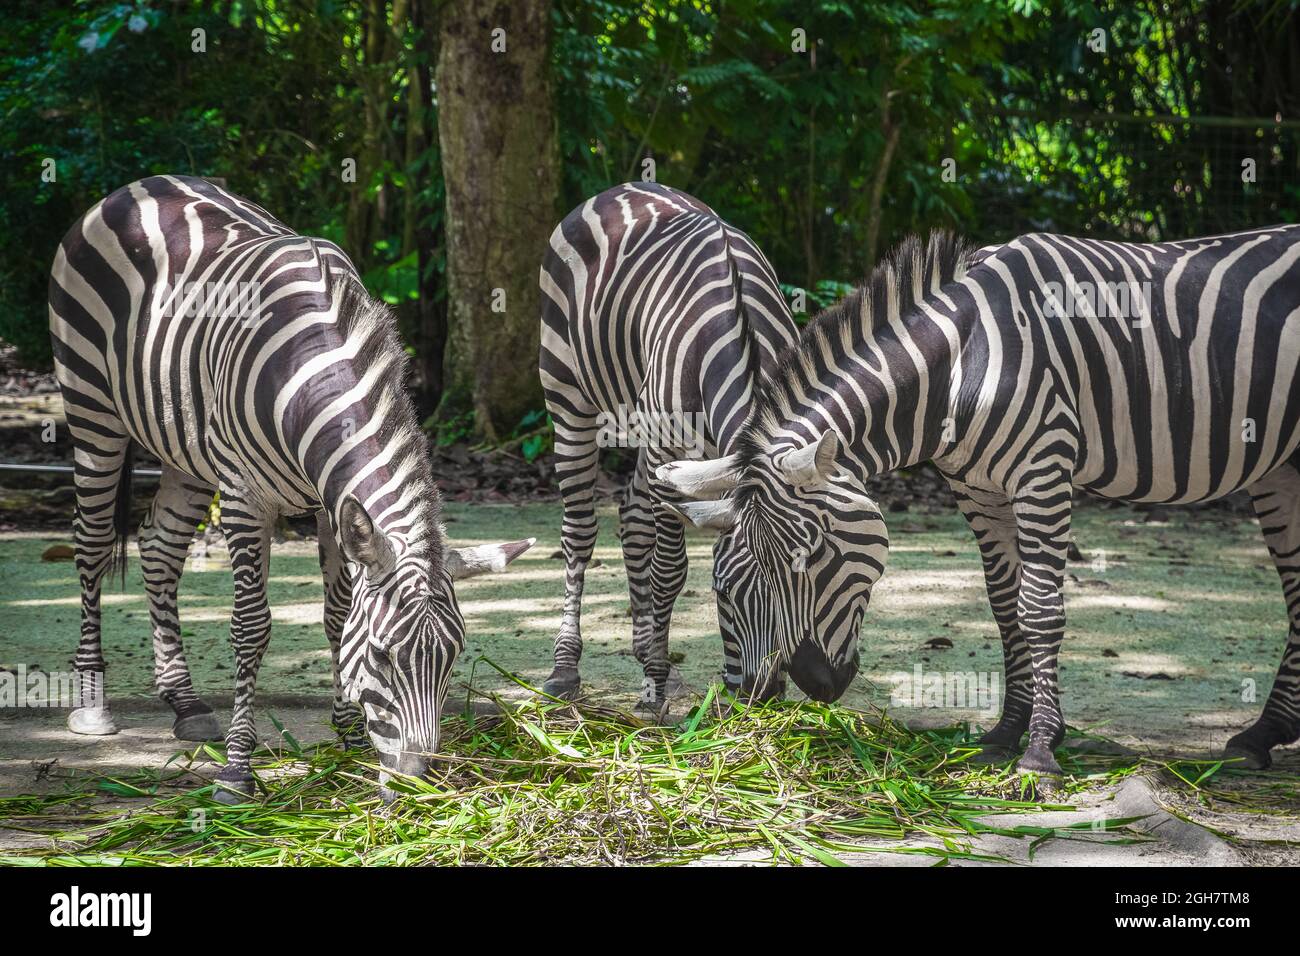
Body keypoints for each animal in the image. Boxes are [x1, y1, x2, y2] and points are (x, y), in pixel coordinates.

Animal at [49, 175, 532, 802]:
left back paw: (185, 703)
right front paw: (236, 770)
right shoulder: (244, 496)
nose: (416, 784)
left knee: (158, 547)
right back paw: (92, 703)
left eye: (453, 657)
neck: (312, 365)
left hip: (185, 445)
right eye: (383, 656)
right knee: (90, 544)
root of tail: (140, 185)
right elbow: (251, 627)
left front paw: (348, 736)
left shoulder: (335, 505)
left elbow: (336, 614)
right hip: (92, 410)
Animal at [538, 182, 888, 712]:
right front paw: (653, 693)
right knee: (579, 532)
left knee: (633, 517)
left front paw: (657, 672)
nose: (761, 694)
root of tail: (622, 189)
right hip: (568, 399)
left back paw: (647, 652)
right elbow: (669, 570)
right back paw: (566, 668)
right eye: (722, 593)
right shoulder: (666, 449)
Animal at [661, 226, 1300, 775]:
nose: (811, 686)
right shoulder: (977, 488)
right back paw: (1262, 736)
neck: (958, 366)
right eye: (724, 590)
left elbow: (1039, 610)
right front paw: (1005, 734)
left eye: (813, 554)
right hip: (1281, 466)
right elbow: (1004, 606)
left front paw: (1039, 754)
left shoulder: (1044, 470)